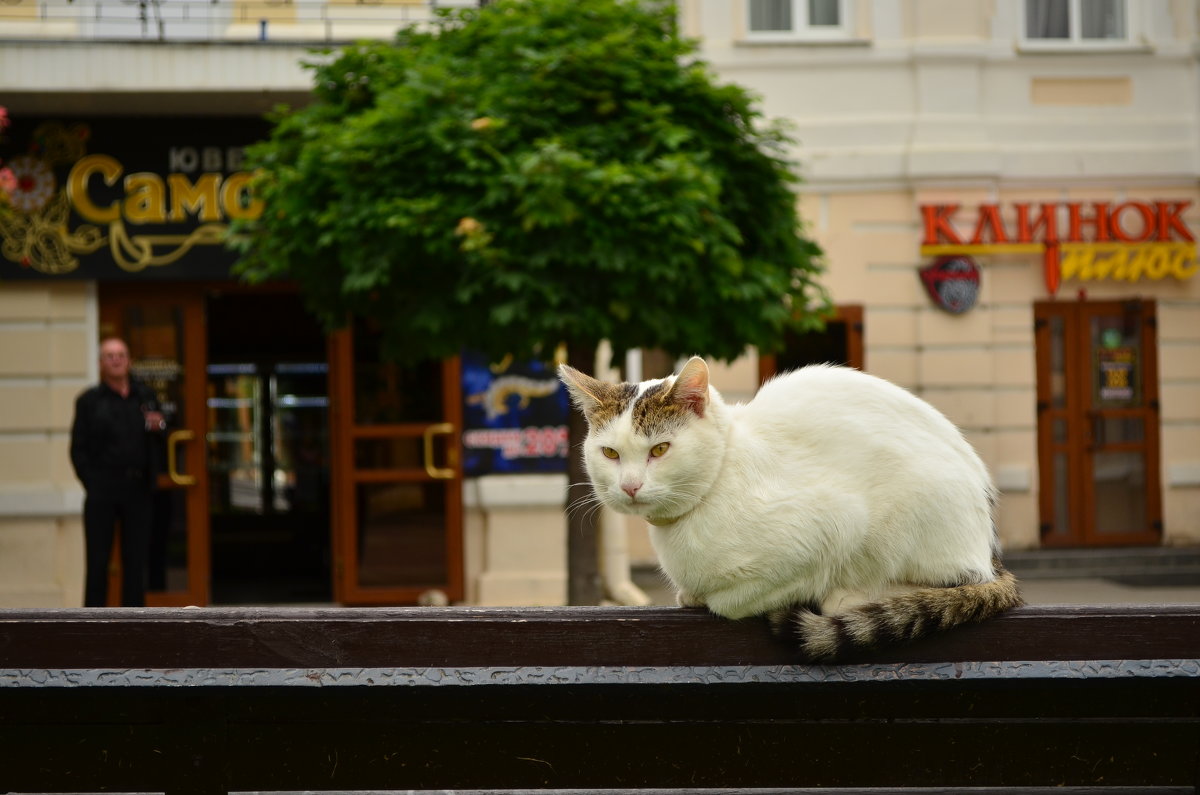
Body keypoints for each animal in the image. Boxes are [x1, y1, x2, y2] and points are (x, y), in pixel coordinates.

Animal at [559, 357, 1022, 662]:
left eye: (659, 449)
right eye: (610, 453)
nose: (630, 486)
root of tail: (988, 544)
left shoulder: (835, 524)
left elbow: (731, 601)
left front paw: (710, 596)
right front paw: (690, 592)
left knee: (951, 578)